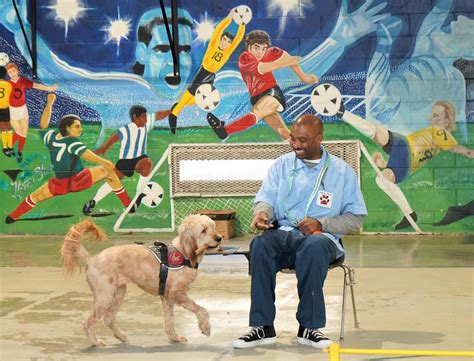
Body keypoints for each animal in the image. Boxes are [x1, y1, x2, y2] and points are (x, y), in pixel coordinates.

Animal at [61, 214, 222, 346]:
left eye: (213, 226)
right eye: (203, 230)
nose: (219, 238)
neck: (184, 253)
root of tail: (92, 259)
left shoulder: (167, 298)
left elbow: (169, 321)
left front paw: (174, 338)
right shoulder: (177, 294)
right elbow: (201, 309)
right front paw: (205, 327)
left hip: (118, 293)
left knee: (108, 319)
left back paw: (121, 336)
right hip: (104, 297)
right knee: (87, 322)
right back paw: (95, 342)